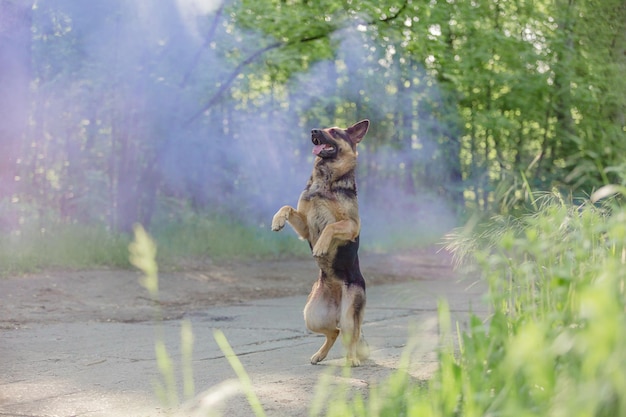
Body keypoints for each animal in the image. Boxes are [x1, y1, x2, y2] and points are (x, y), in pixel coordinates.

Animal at [270, 118, 368, 364]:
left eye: (333, 131)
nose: (313, 130)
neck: (326, 180)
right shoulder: (305, 228)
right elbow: (287, 207)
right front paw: (277, 220)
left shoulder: (352, 226)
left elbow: (331, 226)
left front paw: (322, 247)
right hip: (311, 316)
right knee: (334, 332)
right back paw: (319, 355)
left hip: (349, 314)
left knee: (351, 334)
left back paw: (353, 359)